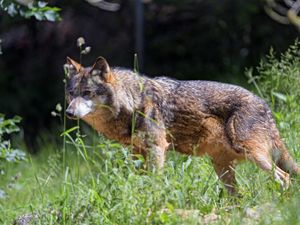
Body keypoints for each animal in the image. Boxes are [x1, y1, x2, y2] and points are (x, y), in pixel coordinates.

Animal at [64, 55, 298, 193]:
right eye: (71, 93)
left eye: (87, 93)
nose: (69, 113)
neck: (132, 102)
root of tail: (264, 104)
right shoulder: (137, 153)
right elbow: (140, 182)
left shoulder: (157, 149)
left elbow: (155, 182)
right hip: (223, 168)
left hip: (253, 155)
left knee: (285, 178)